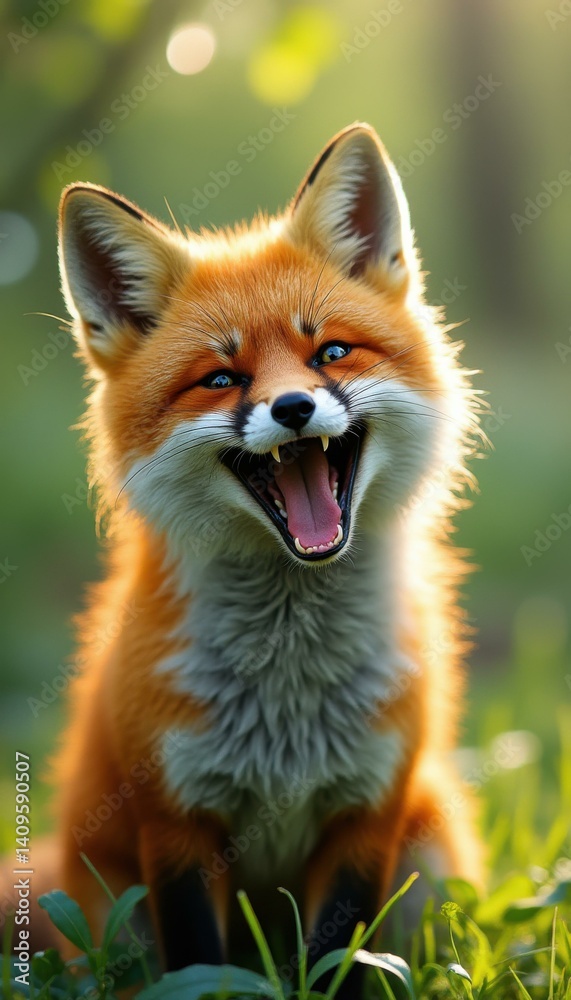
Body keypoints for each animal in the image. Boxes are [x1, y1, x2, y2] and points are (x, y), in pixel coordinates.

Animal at [48, 122, 483, 994]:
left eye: (331, 353)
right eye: (221, 378)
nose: (291, 407)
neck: (289, 698)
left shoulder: (367, 813)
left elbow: (336, 959)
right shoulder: (175, 819)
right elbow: (200, 963)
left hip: (430, 846)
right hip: (105, 910)